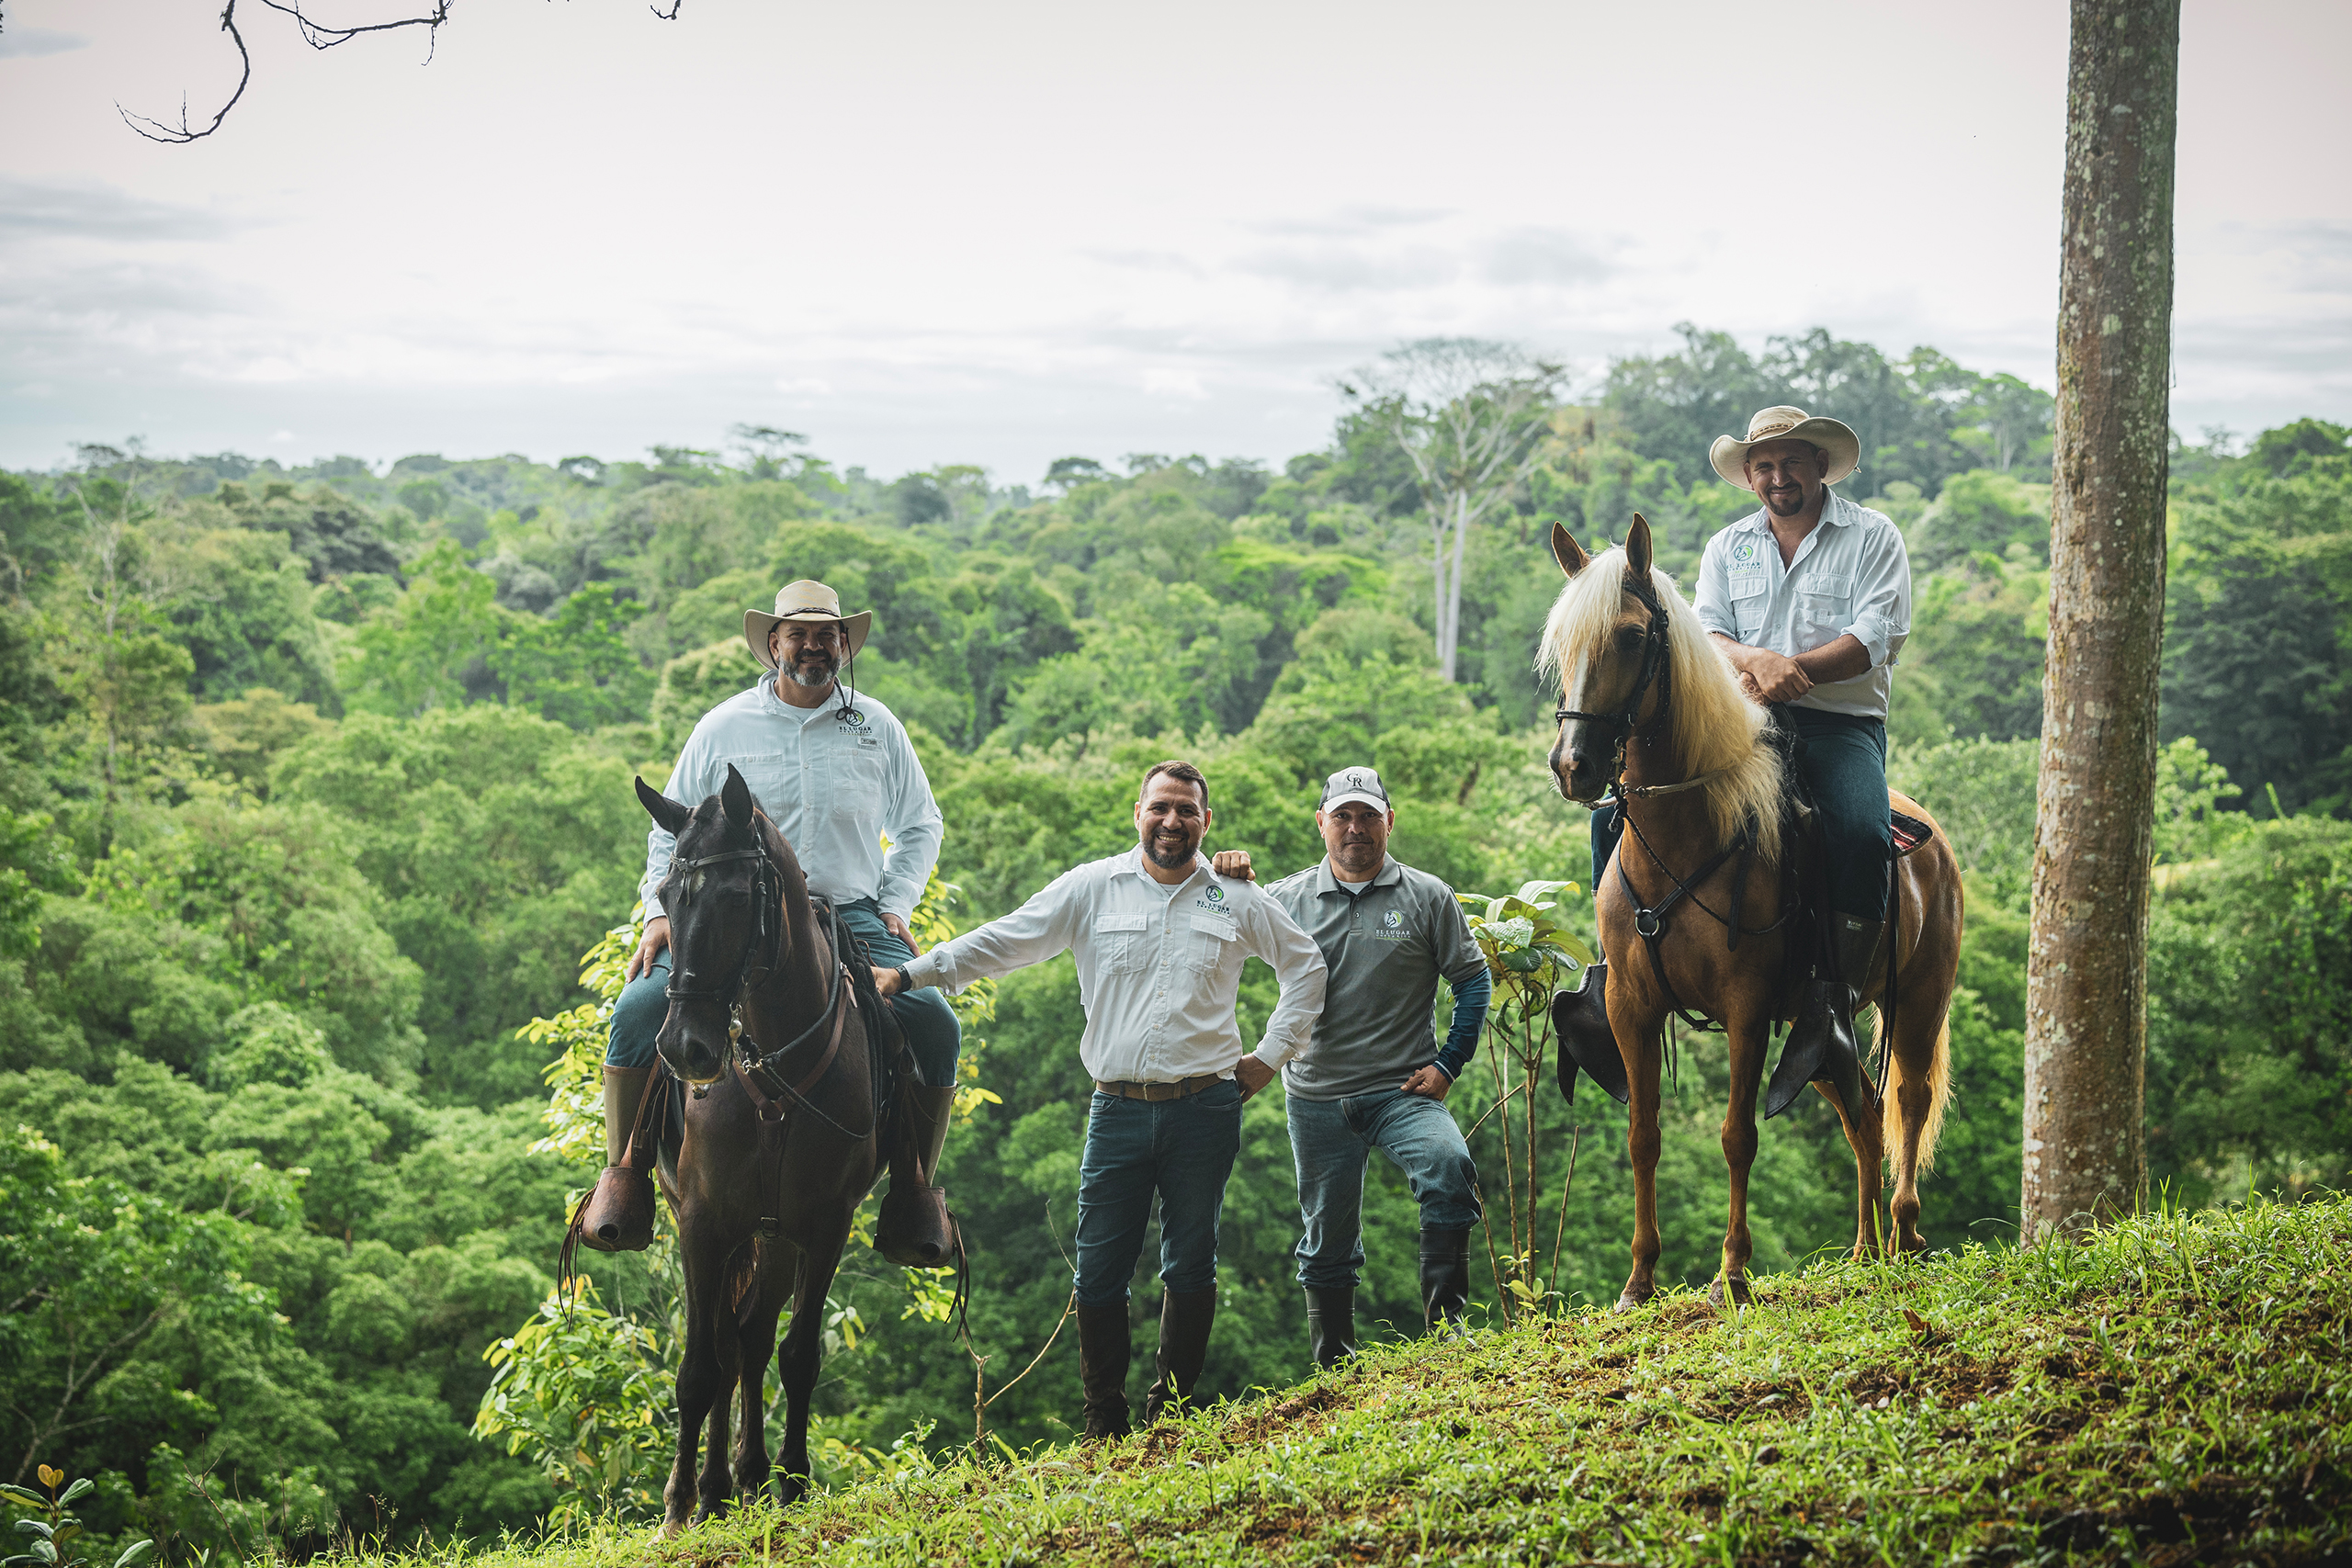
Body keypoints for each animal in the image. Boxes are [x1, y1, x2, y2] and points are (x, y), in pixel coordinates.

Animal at [635, 771, 888, 1532]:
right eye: (667, 895)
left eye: (737, 898)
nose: (686, 1048)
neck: (774, 1068)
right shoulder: (703, 1220)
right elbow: (699, 1368)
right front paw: (679, 1505)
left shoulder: (826, 1223)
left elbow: (797, 1354)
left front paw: (793, 1480)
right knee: (726, 1340)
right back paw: (716, 1486)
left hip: (774, 1234)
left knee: (749, 1335)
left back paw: (744, 1476)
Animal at [1543, 517, 1966, 1316]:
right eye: (1561, 645)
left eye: (1633, 636)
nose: (1575, 765)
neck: (1687, 834)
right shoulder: (1632, 1007)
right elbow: (1643, 1135)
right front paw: (1639, 1279)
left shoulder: (1744, 1008)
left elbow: (1738, 1133)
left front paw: (1732, 1272)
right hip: (1816, 1033)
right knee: (1864, 1115)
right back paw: (1865, 1250)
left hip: (1921, 1003)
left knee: (1910, 1100)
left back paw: (1903, 1233)